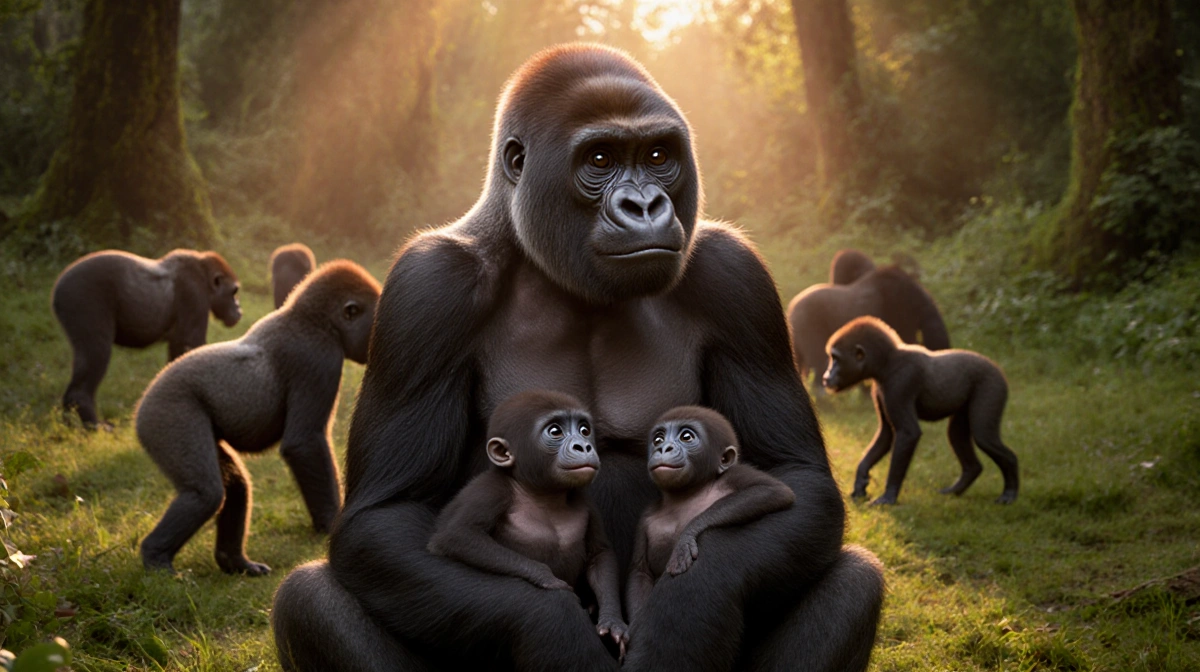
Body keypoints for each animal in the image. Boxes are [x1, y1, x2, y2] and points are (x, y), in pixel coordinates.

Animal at [52, 249, 242, 427]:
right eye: (233, 292)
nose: (239, 309)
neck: (204, 273)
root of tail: (57, 290)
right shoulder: (194, 292)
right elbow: (189, 346)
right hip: (80, 298)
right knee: (96, 354)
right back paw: (92, 423)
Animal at [135, 260, 380, 575]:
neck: (315, 319)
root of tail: (143, 401)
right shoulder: (318, 357)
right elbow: (304, 444)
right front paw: (330, 523)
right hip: (165, 413)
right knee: (203, 493)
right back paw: (155, 555)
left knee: (235, 486)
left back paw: (235, 561)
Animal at [426, 390, 629, 657]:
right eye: (555, 431)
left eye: (584, 430)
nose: (583, 445)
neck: (539, 490)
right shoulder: (490, 489)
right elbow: (456, 535)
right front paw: (548, 579)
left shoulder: (586, 500)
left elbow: (600, 555)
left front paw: (611, 619)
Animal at [625, 406, 795, 621]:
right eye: (658, 439)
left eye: (686, 437)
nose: (663, 448)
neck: (687, 492)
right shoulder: (645, 516)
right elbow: (640, 571)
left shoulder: (733, 475)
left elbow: (773, 490)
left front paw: (687, 535)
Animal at [823, 317, 1019, 505]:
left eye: (836, 358)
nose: (826, 376)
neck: (887, 362)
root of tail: (998, 368)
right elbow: (885, 434)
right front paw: (860, 479)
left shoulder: (900, 384)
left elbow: (908, 433)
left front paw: (889, 495)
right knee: (956, 436)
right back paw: (956, 488)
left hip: (993, 384)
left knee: (984, 437)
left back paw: (1009, 492)